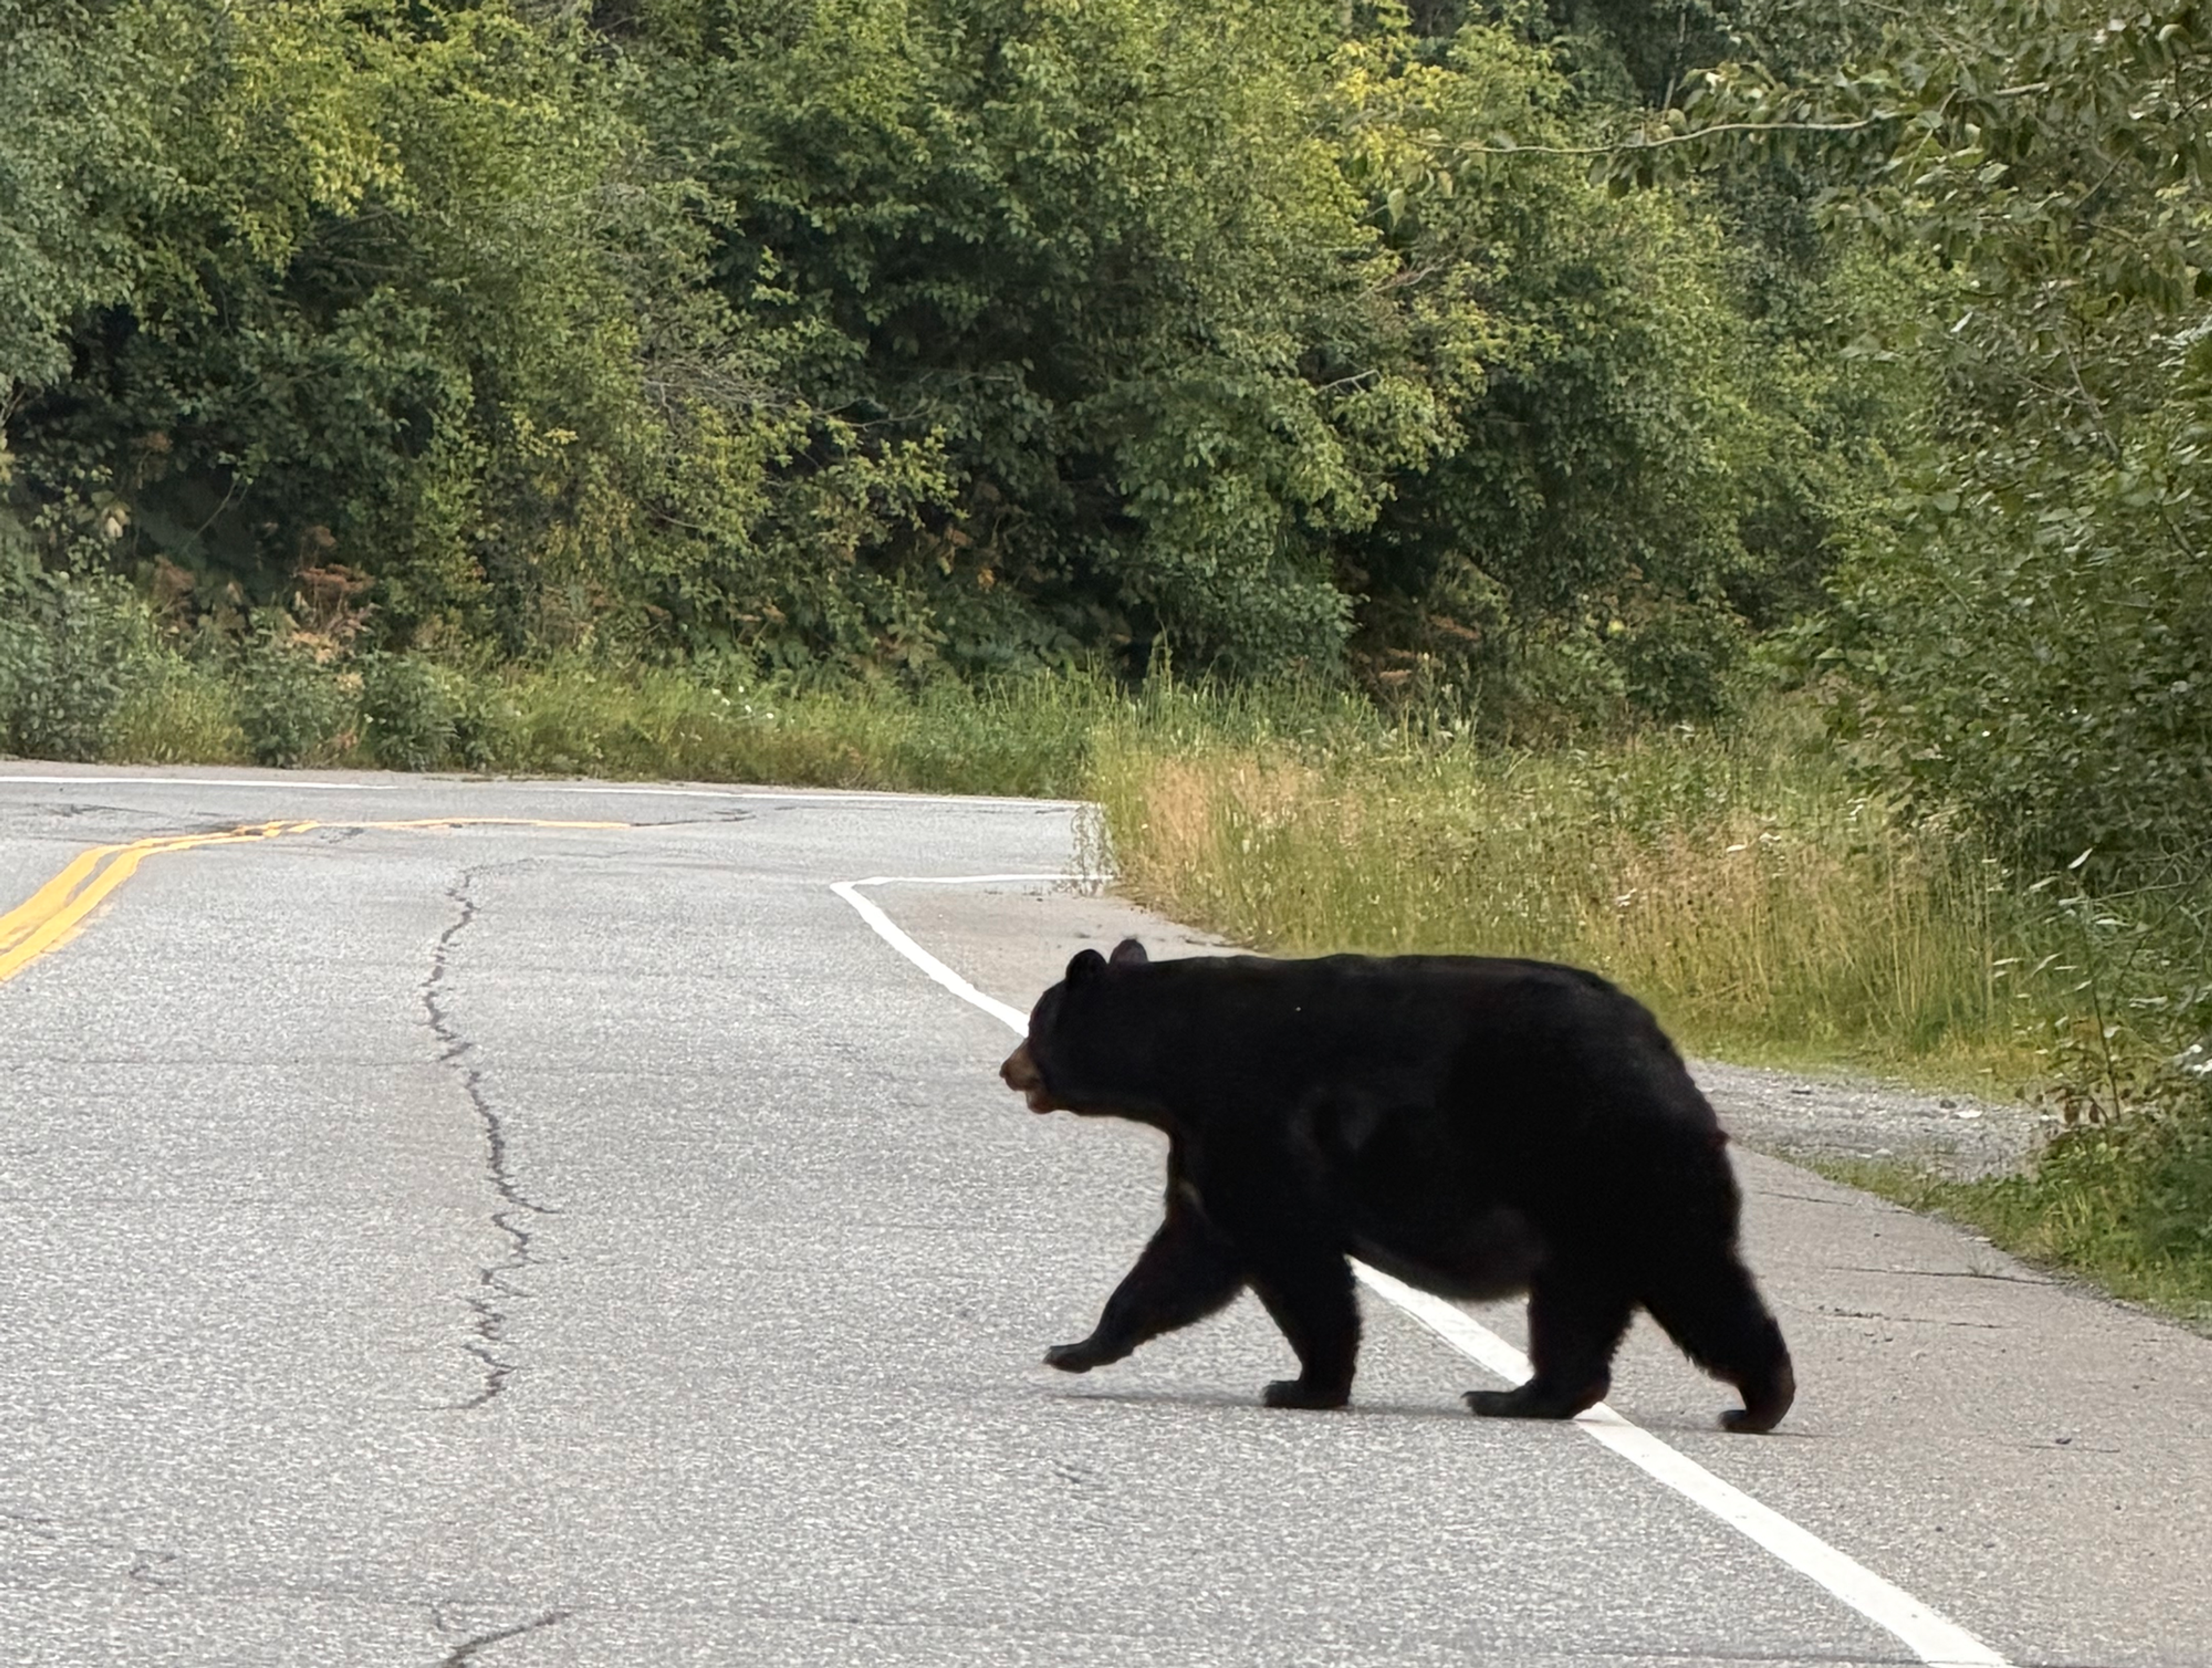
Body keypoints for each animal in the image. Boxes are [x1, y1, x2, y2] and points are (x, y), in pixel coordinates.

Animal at [999, 938, 1795, 1433]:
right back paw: (1525, 1394)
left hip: (1608, 1167)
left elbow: (1292, 1257)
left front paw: (1305, 1385)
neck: (1176, 1059)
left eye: (1037, 1020)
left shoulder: (1254, 1121)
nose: (1009, 1067)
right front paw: (1077, 1347)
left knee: (1693, 1279)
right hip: (1591, 1210)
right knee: (1583, 1304)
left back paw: (1758, 1401)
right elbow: (1189, 1252)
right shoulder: (1204, 1144)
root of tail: (1669, 1060)